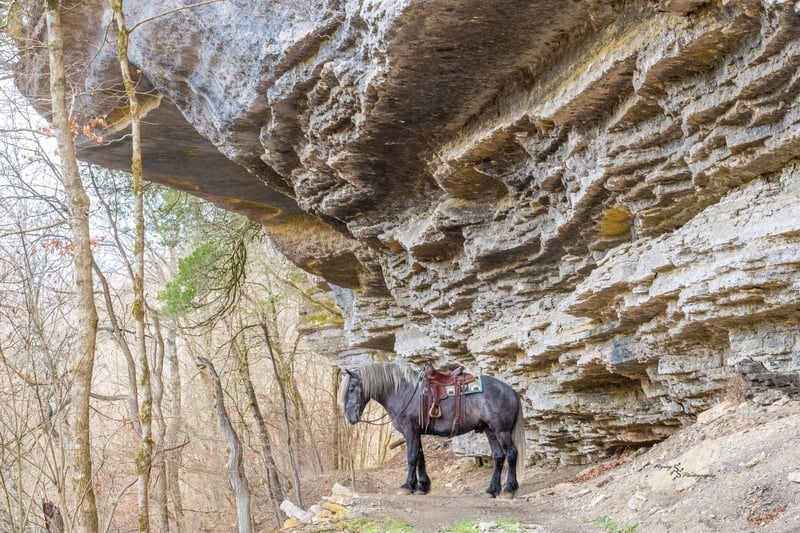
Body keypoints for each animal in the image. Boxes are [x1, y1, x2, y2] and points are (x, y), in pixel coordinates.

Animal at [339, 362, 526, 499]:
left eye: (352, 388)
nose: (349, 418)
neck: (402, 392)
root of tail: (511, 390)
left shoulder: (410, 430)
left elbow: (412, 457)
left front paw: (407, 486)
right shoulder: (416, 432)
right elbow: (420, 458)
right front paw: (422, 486)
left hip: (502, 431)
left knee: (511, 454)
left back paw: (509, 490)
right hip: (490, 431)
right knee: (498, 457)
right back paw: (492, 490)